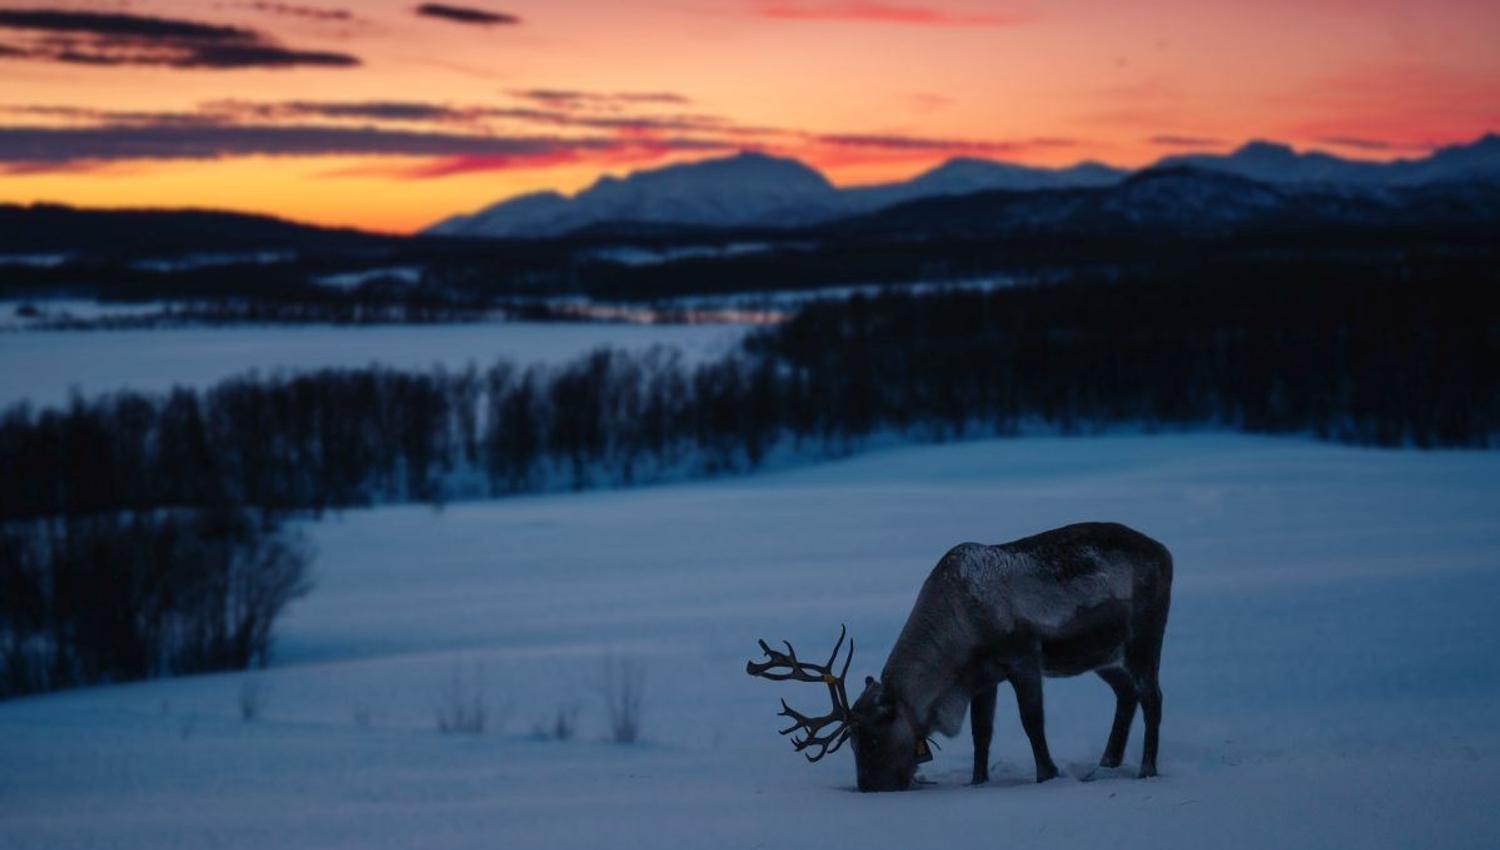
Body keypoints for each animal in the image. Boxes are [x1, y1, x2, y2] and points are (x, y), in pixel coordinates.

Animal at [747, 522, 1172, 792]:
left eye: (871, 740)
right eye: (851, 742)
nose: (869, 788)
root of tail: (1166, 552)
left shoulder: (1022, 657)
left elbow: (1032, 722)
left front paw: (1047, 775)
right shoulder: (983, 677)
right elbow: (981, 734)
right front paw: (977, 781)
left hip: (1144, 635)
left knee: (1152, 697)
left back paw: (1146, 769)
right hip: (1103, 655)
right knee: (1126, 694)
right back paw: (1107, 763)